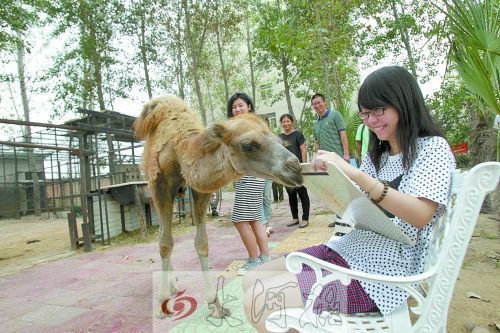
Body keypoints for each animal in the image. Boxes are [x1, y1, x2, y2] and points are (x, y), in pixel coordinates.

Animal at [133, 95, 302, 316]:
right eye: (248, 145)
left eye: (279, 141)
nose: (296, 167)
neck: (179, 151)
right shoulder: (159, 186)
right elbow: (165, 243)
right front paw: (162, 303)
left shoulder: (200, 191)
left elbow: (201, 243)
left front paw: (216, 304)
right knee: (164, 236)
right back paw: (170, 287)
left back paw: (173, 284)